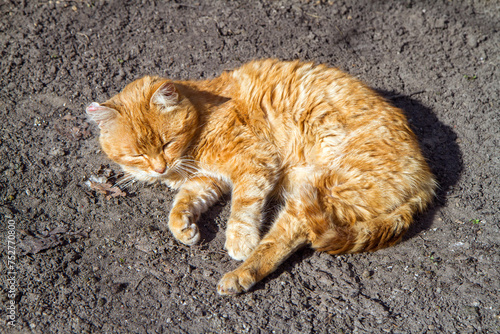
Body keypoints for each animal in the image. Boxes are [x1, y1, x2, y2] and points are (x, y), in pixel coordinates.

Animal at [87, 60, 438, 294]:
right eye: (137, 154)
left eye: (166, 143)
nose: (158, 168)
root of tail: (425, 175)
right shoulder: (209, 180)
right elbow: (182, 202)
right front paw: (183, 227)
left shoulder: (255, 163)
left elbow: (243, 208)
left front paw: (239, 240)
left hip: (316, 191)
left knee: (283, 240)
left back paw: (240, 275)